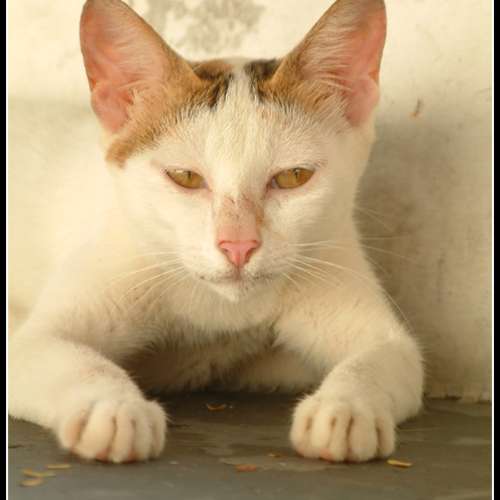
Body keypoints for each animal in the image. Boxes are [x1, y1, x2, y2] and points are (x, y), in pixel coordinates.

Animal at [8, 0, 424, 464]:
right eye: (185, 177)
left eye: (294, 177)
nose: (238, 245)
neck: (220, 309)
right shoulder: (39, 334)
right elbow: (67, 355)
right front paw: (111, 407)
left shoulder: (342, 275)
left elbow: (383, 357)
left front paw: (345, 408)